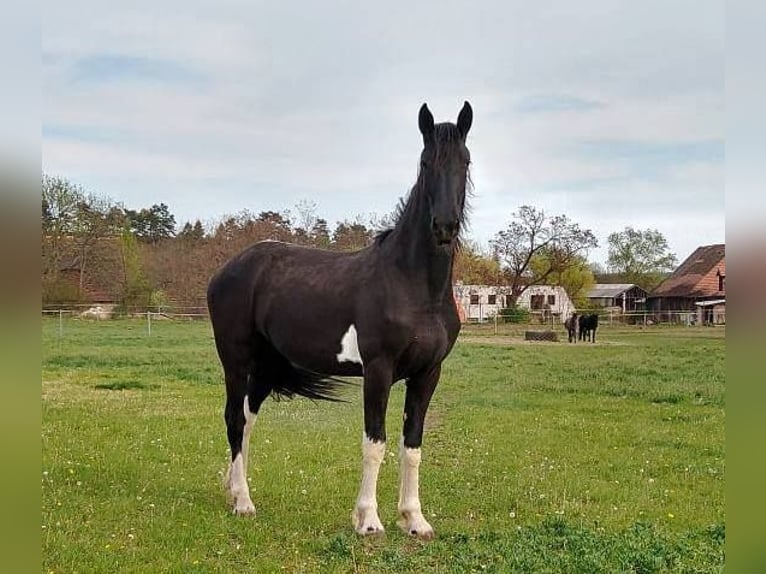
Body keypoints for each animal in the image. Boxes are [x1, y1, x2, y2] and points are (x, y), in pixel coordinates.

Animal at [210, 102, 474, 540]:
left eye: (465, 162)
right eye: (425, 162)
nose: (445, 226)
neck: (413, 284)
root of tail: (228, 269)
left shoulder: (428, 373)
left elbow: (412, 446)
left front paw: (414, 519)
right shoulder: (378, 371)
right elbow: (375, 443)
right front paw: (368, 520)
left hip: (265, 365)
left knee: (246, 419)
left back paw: (234, 491)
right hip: (236, 359)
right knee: (233, 418)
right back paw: (244, 503)